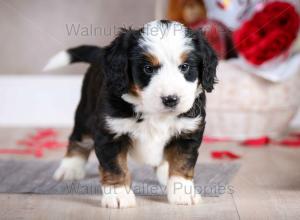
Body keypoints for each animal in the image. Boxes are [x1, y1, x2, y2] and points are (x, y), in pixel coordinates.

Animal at [44, 20, 218, 208]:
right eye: (148, 69)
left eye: (185, 67)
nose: (171, 99)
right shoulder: (110, 132)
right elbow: (115, 166)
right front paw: (118, 194)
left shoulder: (188, 131)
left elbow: (182, 162)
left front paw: (182, 192)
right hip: (85, 112)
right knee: (78, 139)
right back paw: (70, 167)